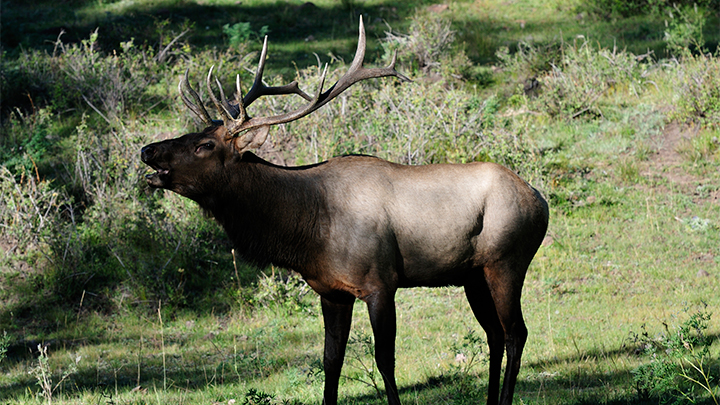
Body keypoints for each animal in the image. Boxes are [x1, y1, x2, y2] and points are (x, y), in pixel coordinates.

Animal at [139, 18, 544, 404]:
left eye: (205, 145)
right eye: (194, 133)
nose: (147, 149)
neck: (308, 231)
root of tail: (540, 199)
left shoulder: (380, 281)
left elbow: (385, 359)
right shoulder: (331, 290)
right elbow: (331, 360)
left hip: (507, 260)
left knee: (516, 332)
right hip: (472, 274)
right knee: (493, 333)